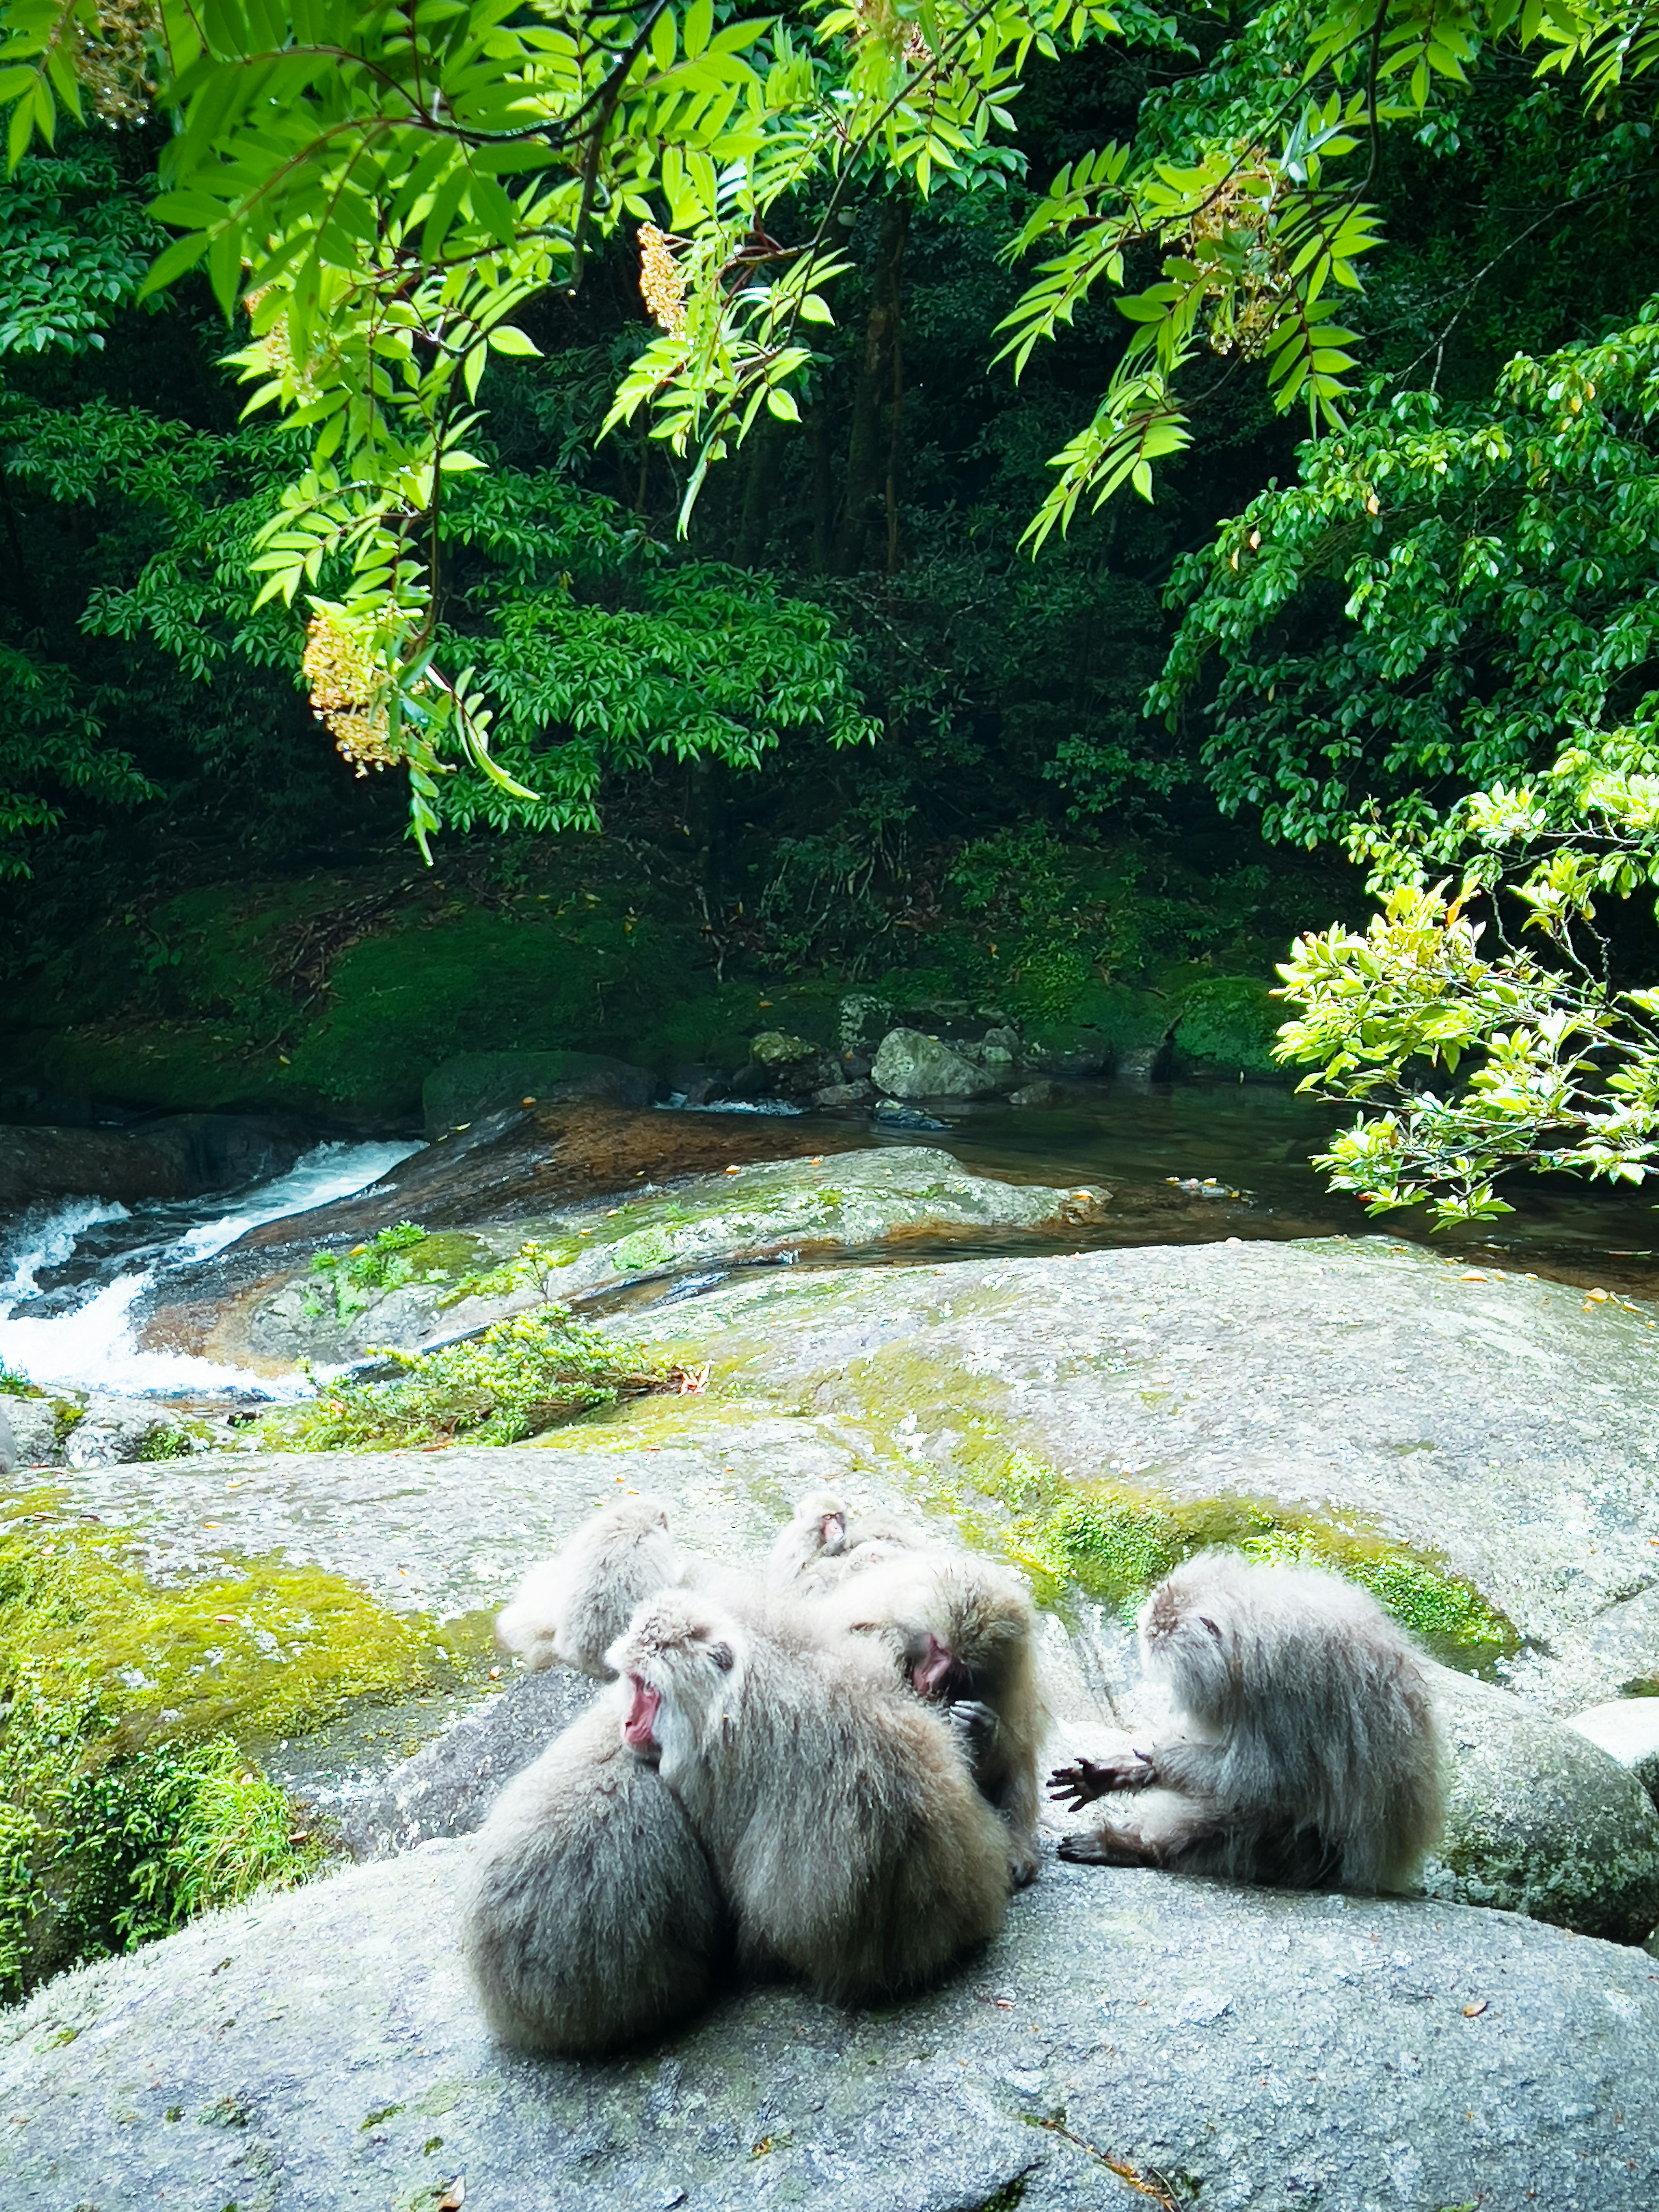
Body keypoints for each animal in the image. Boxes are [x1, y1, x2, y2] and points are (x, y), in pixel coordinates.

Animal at [1057, 1548, 1451, 1893]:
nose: (1172, 1700)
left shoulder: (1287, 1686)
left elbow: (1276, 1783)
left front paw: (1160, 1761)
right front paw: (1121, 1769)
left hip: (1307, 1860)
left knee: (1261, 1802)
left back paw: (1135, 1847)